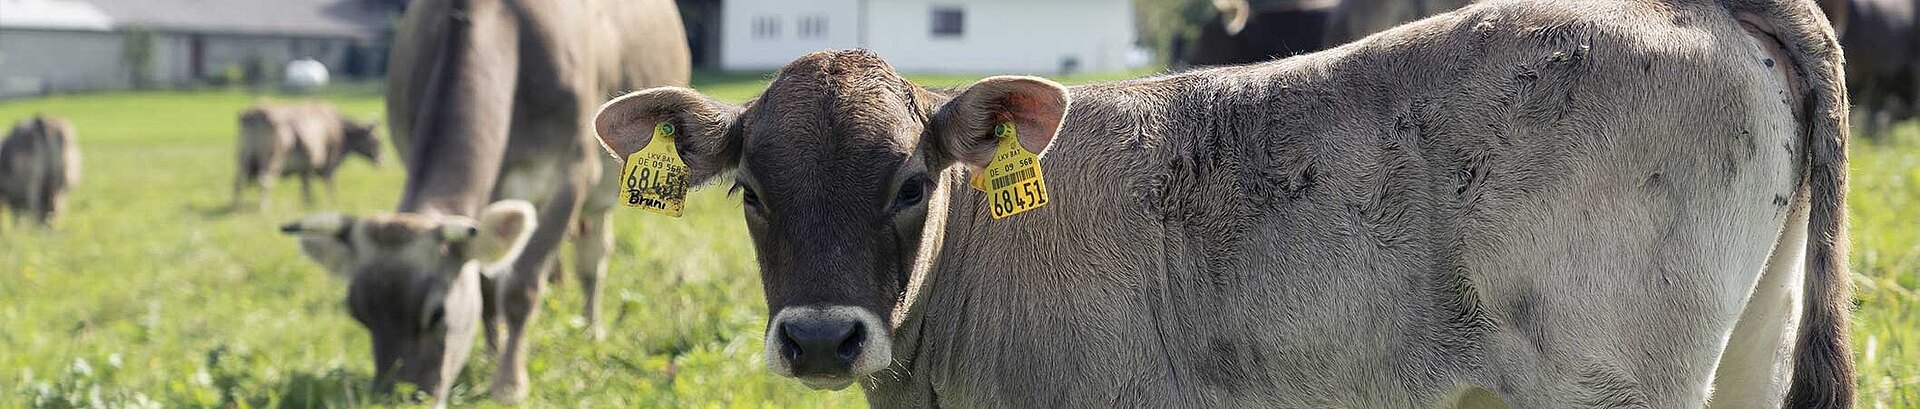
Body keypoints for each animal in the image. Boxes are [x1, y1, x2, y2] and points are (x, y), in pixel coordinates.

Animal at [230, 101, 380, 209]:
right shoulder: (328, 162)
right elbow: (329, 184)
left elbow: (306, 186)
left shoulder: (305, 166)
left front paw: (308, 203)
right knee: (265, 179)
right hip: (272, 159)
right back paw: (264, 206)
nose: (381, 160)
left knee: (238, 181)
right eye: (377, 140)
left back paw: (236, 206)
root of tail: (256, 112)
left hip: (242, 157)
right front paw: (330, 202)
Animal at [270, 0, 691, 405]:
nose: (398, 400)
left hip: (603, 192)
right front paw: (491, 354)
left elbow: (521, 287)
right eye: (358, 313)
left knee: (593, 260)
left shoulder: (570, 176)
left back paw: (591, 330)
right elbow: (488, 287)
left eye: (436, 313)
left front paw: (509, 383)